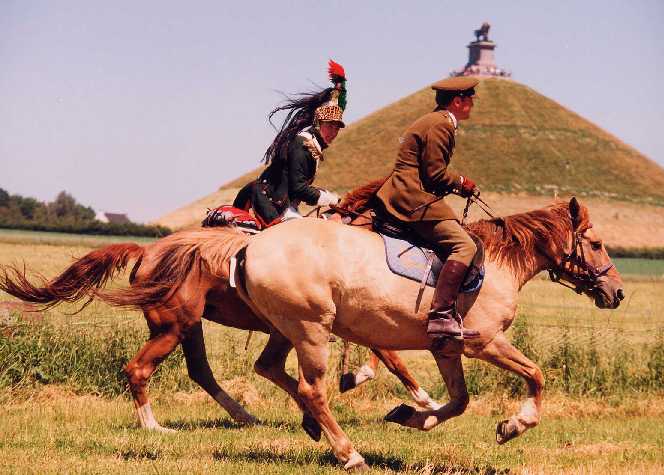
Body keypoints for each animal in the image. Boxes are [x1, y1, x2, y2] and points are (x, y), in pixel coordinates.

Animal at [228, 196, 624, 468]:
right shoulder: (486, 343)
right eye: (597, 244)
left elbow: (460, 401)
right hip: (311, 329)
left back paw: (312, 425)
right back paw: (349, 453)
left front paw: (411, 416)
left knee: (270, 368)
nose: (617, 292)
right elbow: (536, 375)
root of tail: (251, 245)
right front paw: (515, 425)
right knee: (312, 390)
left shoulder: (446, 348)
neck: (500, 264)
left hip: (287, 329)